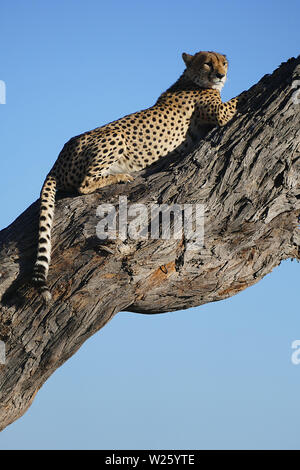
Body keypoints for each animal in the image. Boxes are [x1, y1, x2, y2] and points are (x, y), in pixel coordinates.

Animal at [32, 50, 240, 302]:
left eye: (224, 62)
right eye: (208, 63)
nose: (221, 75)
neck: (191, 79)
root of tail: (58, 158)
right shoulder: (220, 114)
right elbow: (237, 100)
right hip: (115, 135)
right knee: (84, 184)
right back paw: (119, 176)